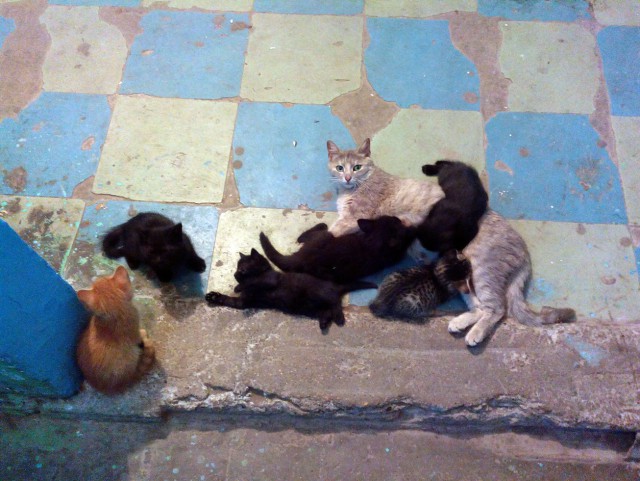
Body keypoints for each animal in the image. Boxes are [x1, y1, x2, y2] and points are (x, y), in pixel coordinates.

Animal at [205, 248, 377, 332]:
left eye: (242, 269)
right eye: (236, 268)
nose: (235, 274)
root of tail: (334, 285)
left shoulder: (270, 279)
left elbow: (254, 281)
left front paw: (239, 286)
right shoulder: (243, 302)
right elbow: (230, 300)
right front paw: (214, 297)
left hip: (319, 294)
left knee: (335, 302)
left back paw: (339, 318)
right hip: (314, 308)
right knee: (327, 310)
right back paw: (323, 323)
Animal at [259, 216, 416, 284]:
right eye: (395, 220)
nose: (398, 218)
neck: (372, 242)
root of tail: (299, 258)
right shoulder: (397, 254)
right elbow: (410, 235)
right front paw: (412, 227)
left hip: (325, 238)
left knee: (309, 234)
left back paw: (304, 235)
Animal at [326, 141, 575, 346]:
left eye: (356, 167)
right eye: (340, 168)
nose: (347, 177)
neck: (360, 184)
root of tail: (524, 252)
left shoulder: (353, 217)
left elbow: (330, 231)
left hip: (481, 272)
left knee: (496, 309)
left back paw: (475, 334)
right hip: (463, 278)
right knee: (479, 306)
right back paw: (460, 323)